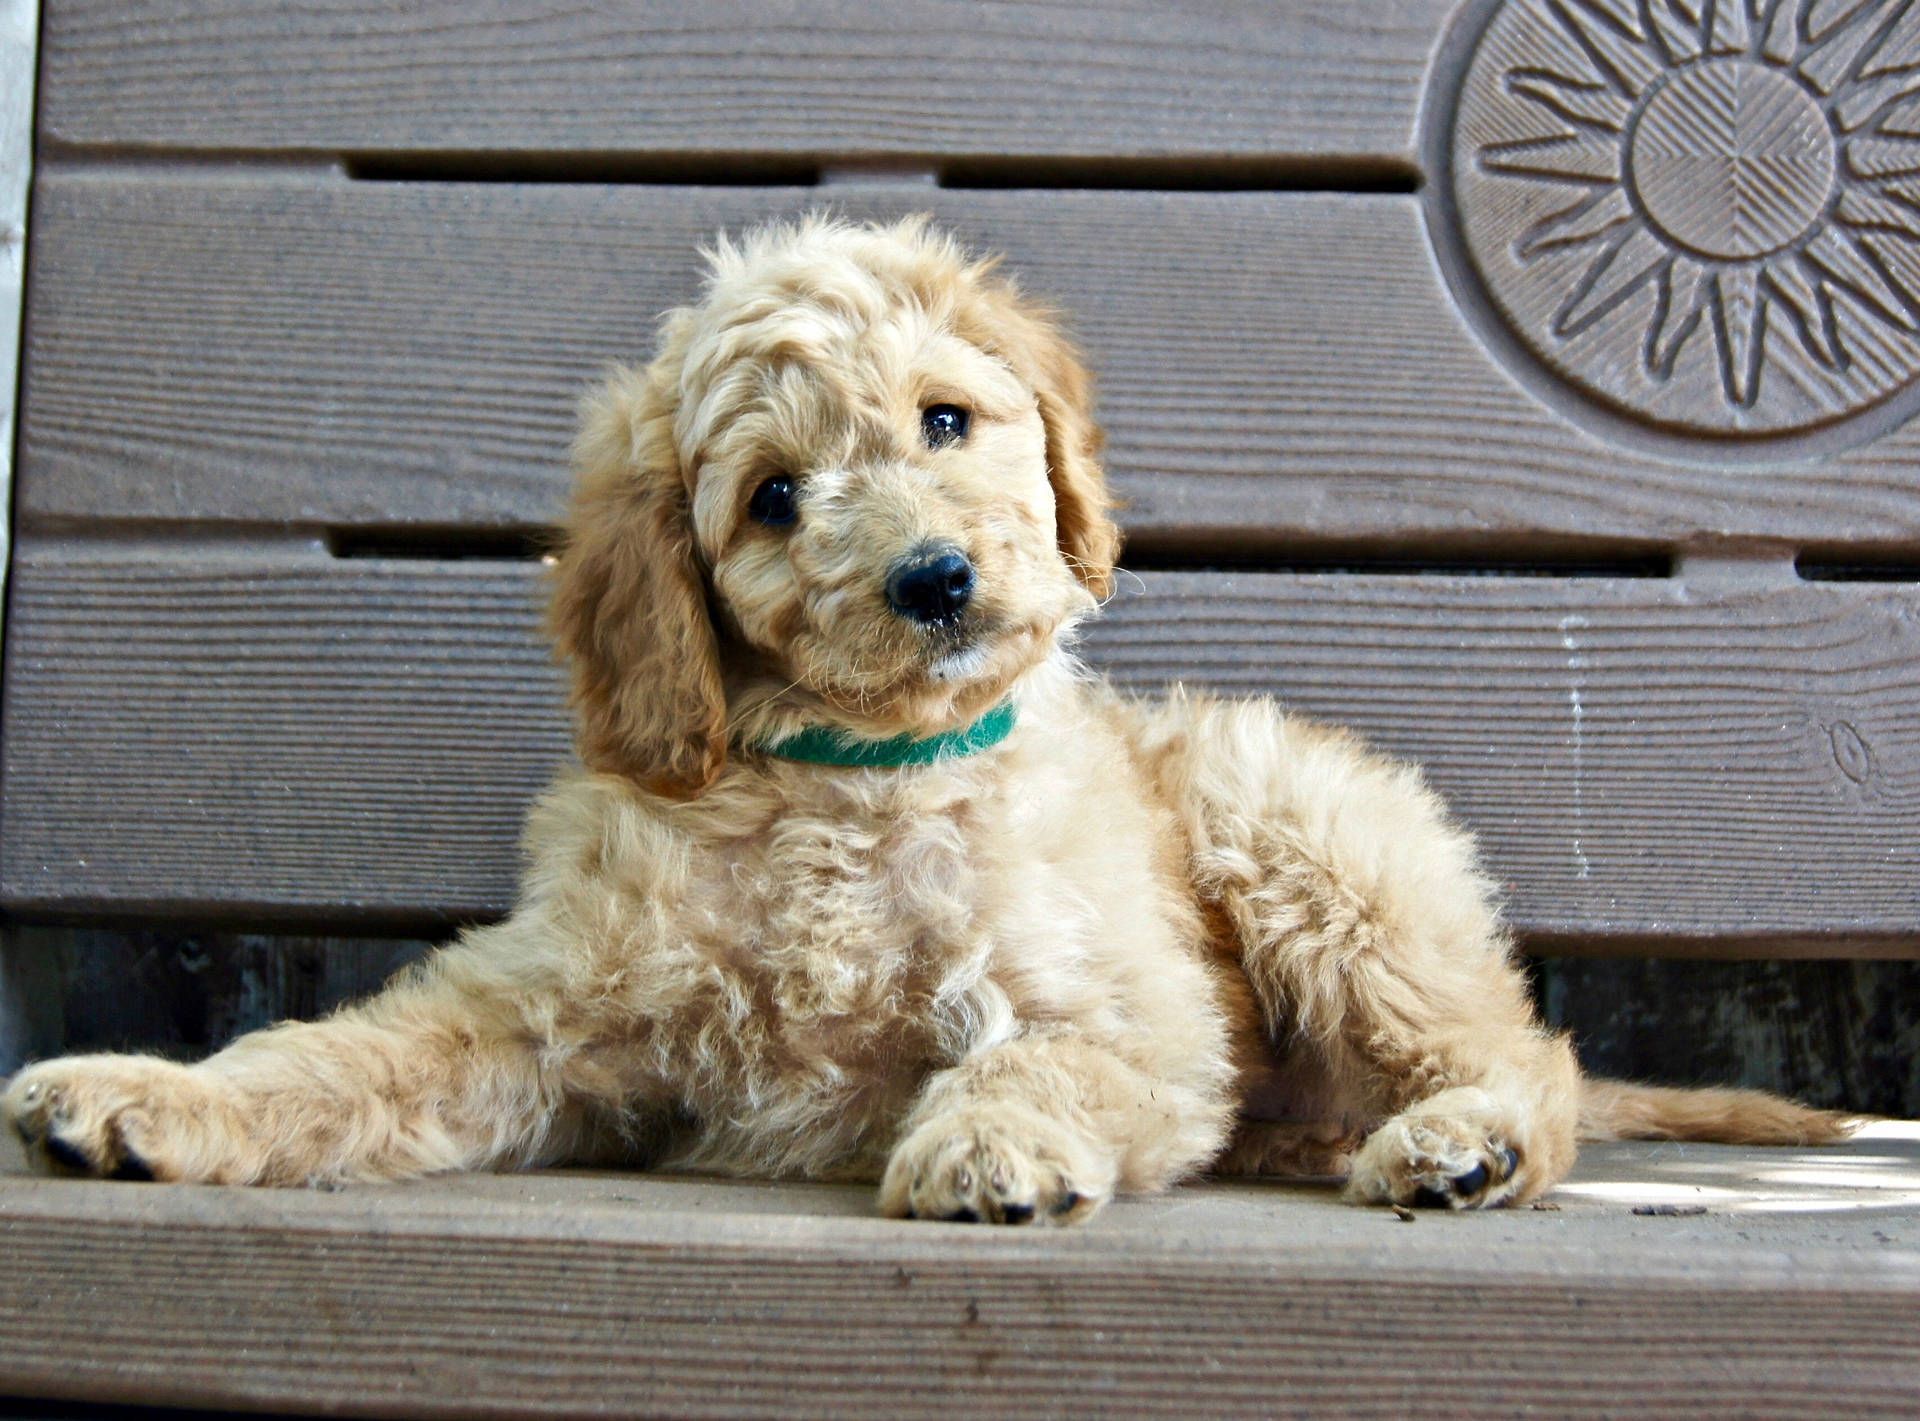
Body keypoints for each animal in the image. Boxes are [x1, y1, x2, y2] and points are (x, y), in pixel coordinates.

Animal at [3, 218, 1858, 1221]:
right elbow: (339, 1056)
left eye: (947, 419)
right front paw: (148, 1097)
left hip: (1296, 825)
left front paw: (990, 1142)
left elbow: (1044, 1049)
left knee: (1525, 1051)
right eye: (771, 496)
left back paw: (1460, 1142)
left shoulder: (1137, 1013)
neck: (858, 782)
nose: (936, 579)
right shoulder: (535, 1017)